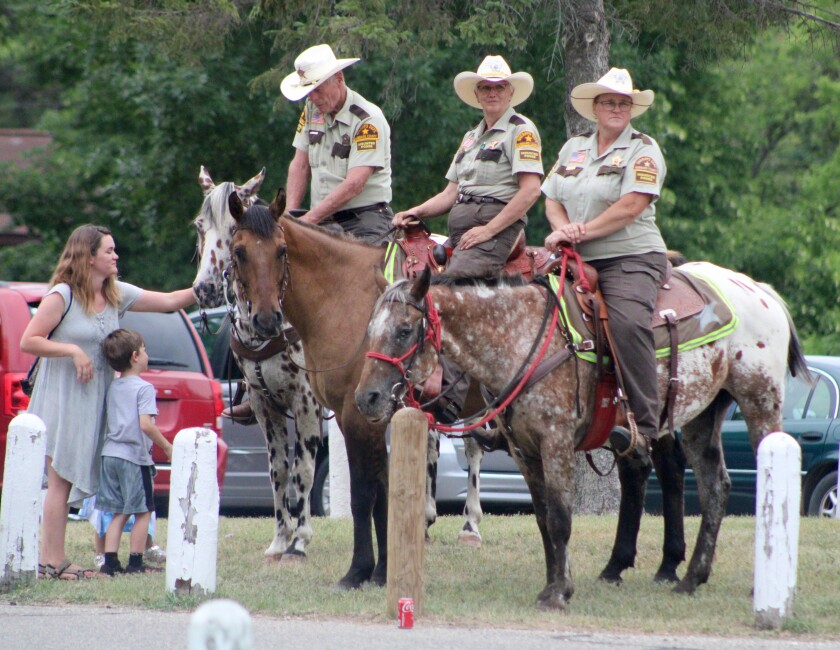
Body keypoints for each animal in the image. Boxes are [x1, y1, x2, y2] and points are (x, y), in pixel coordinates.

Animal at [190, 168, 322, 560]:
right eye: (200, 226)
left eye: (234, 229)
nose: (205, 289)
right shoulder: (266, 405)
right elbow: (279, 470)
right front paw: (280, 539)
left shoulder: (306, 402)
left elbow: (303, 470)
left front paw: (300, 539)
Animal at [352, 264, 808, 608]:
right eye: (369, 328)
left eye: (404, 330)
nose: (366, 398)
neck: (519, 338)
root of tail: (762, 292)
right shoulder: (525, 451)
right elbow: (543, 519)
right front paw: (555, 583)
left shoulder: (556, 443)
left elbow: (560, 517)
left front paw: (559, 593)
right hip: (702, 415)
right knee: (715, 487)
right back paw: (690, 577)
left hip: (760, 403)